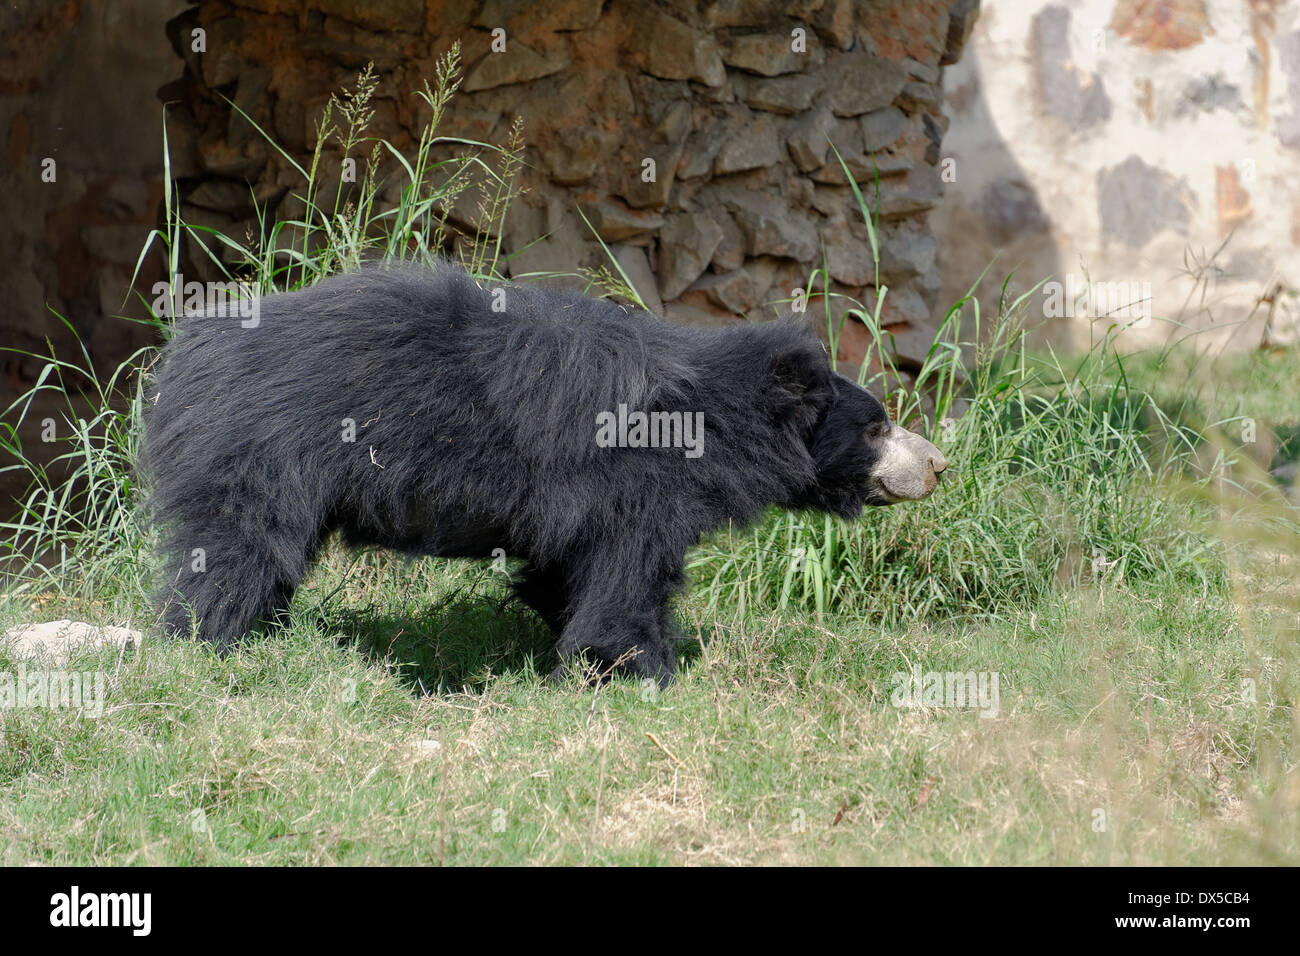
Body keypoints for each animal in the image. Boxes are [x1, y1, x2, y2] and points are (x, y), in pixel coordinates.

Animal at [142, 257, 946, 686]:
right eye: (877, 427)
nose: (938, 464)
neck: (714, 419)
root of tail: (186, 353)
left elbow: (567, 568)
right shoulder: (637, 487)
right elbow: (628, 572)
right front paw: (643, 668)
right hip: (263, 452)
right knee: (238, 548)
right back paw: (211, 643)